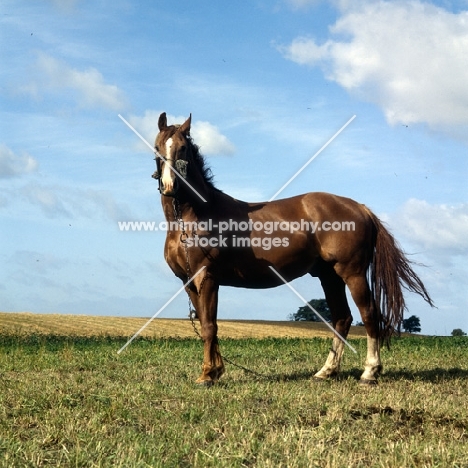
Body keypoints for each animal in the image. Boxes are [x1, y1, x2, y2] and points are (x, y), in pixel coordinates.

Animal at [152, 111, 434, 386]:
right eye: (157, 147)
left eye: (183, 147)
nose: (169, 186)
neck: (195, 216)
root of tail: (360, 207)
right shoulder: (189, 282)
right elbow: (205, 324)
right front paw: (215, 370)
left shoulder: (208, 278)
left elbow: (210, 326)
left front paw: (208, 375)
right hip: (329, 276)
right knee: (342, 318)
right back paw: (326, 372)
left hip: (352, 273)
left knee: (369, 314)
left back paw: (369, 373)